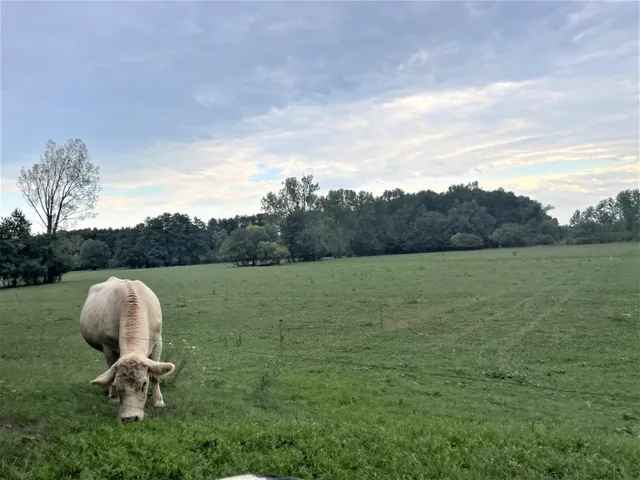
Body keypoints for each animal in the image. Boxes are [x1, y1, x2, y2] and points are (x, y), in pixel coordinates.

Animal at [80, 276, 175, 422]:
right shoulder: (108, 347)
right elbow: (111, 369)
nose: (130, 418)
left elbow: (155, 376)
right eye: (119, 386)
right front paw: (113, 398)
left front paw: (159, 402)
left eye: (144, 384)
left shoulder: (158, 342)